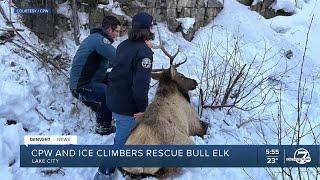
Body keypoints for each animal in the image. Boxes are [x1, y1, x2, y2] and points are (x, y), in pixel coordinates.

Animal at [121, 39, 209, 177]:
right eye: (181, 75)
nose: (195, 82)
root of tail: (139, 167)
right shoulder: (193, 122)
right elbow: (206, 126)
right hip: (186, 144)